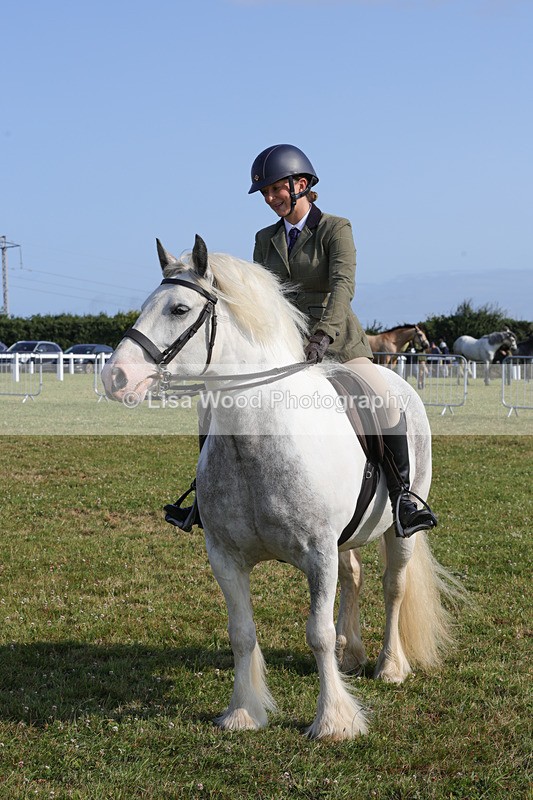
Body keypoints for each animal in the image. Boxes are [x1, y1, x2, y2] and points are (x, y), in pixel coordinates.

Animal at [102, 235, 459, 741]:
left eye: (178, 308)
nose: (115, 377)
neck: (257, 440)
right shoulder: (225, 556)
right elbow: (242, 633)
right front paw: (243, 712)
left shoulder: (319, 553)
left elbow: (318, 633)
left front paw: (334, 721)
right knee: (355, 578)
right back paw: (353, 654)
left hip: (398, 530)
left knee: (394, 586)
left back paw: (390, 665)